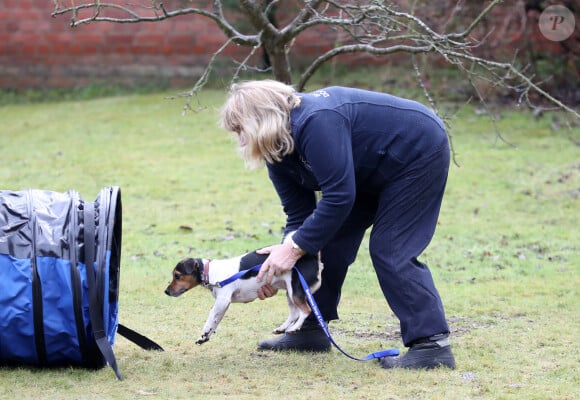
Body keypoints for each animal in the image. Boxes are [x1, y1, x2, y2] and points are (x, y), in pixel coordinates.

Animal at [165, 239, 324, 346]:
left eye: (177, 276)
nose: (166, 291)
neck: (210, 273)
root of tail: (313, 260)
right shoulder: (223, 305)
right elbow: (215, 322)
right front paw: (205, 337)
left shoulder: (222, 301)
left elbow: (210, 318)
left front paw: (204, 334)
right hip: (290, 294)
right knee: (294, 313)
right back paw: (282, 328)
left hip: (296, 291)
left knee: (305, 311)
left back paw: (294, 328)